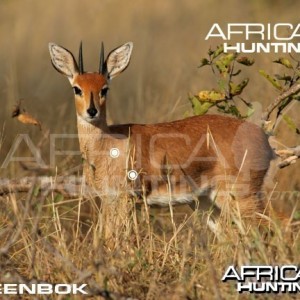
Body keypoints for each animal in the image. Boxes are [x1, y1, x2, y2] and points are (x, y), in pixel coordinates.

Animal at [48, 42, 274, 223]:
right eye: (77, 88)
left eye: (104, 88)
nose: (91, 111)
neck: (108, 144)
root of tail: (264, 139)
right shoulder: (110, 201)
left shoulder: (124, 201)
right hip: (207, 203)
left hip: (242, 198)